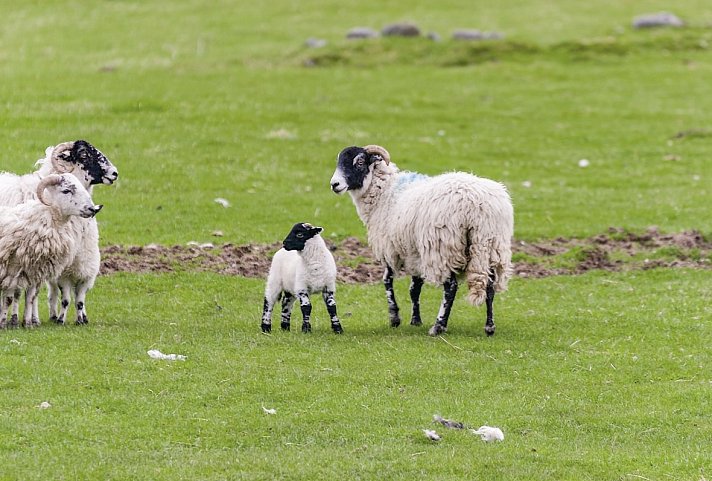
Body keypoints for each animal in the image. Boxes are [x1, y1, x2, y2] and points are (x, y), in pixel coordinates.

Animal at [328, 144, 512, 336]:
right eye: (339, 161)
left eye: (360, 162)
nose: (334, 184)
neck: (385, 192)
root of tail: (477, 206)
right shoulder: (413, 251)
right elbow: (414, 288)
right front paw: (415, 319)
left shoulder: (390, 248)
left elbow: (387, 280)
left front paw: (394, 317)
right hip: (491, 245)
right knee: (490, 286)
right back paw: (489, 326)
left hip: (444, 247)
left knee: (450, 287)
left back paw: (438, 326)